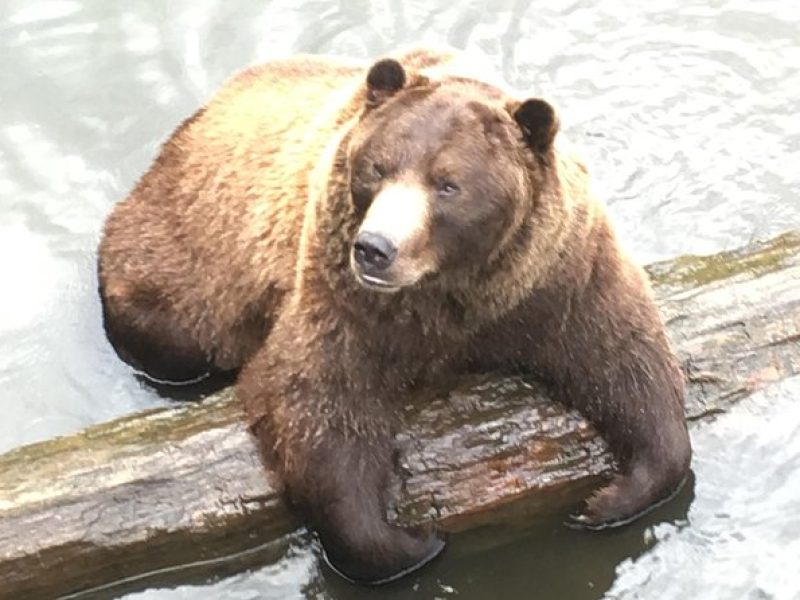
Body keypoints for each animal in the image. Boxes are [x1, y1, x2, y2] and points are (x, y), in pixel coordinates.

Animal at [97, 49, 692, 584]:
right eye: (377, 167)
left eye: (447, 183)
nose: (375, 248)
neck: (454, 294)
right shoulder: (342, 299)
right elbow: (322, 404)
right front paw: (411, 542)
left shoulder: (557, 276)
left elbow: (624, 355)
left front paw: (610, 497)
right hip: (181, 262)